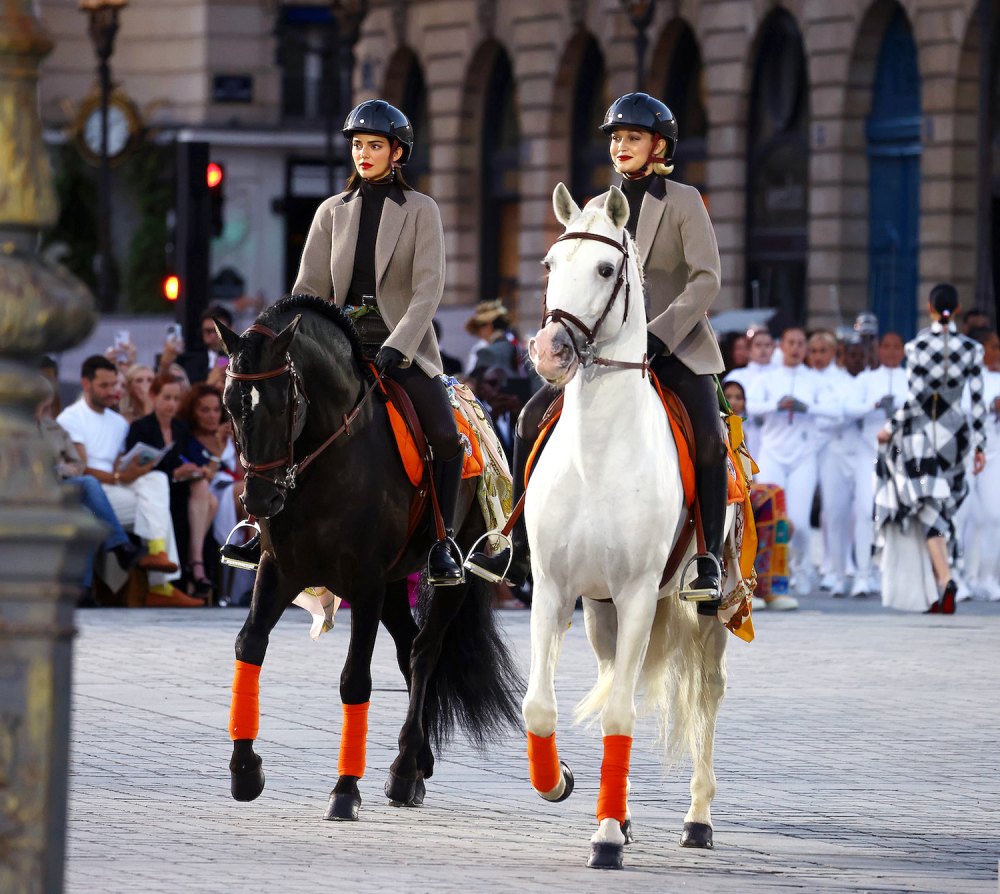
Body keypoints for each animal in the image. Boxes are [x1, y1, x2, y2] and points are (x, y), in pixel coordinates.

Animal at [218, 294, 524, 820]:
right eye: (230, 405)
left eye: (284, 403)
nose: (260, 499)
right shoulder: (280, 569)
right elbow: (249, 646)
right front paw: (245, 769)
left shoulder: (364, 582)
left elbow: (355, 679)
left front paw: (345, 789)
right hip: (395, 583)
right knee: (407, 649)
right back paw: (417, 762)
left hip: (447, 576)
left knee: (424, 653)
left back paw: (403, 770)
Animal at [524, 184, 736, 876]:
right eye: (548, 264)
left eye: (605, 269)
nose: (549, 352)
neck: (597, 453)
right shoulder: (553, 590)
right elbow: (541, 707)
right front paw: (558, 781)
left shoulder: (642, 592)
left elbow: (621, 711)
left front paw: (608, 838)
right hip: (601, 611)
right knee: (613, 672)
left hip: (709, 607)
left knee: (706, 694)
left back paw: (697, 819)